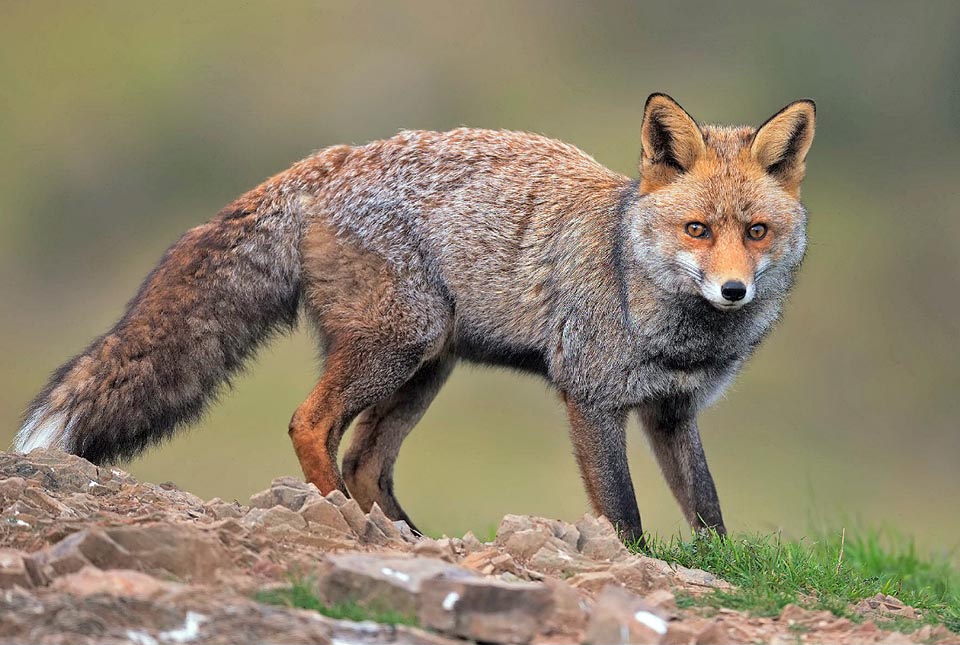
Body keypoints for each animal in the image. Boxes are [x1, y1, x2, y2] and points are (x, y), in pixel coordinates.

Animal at [15, 93, 812, 540]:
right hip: (397, 347)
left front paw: (721, 570)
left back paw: (409, 536)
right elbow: (625, 514)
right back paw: (344, 518)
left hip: (426, 369)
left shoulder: (674, 413)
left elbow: (707, 509)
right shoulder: (590, 397)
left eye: (757, 232)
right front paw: (640, 561)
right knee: (312, 426)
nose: (734, 292)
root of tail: (334, 158)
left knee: (366, 460)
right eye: (698, 230)